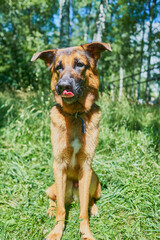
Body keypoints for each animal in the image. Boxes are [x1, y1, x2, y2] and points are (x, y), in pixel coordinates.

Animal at [31, 42, 111, 240]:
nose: (63, 86)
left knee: (88, 200)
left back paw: (93, 208)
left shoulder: (86, 167)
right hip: (54, 185)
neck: (75, 114)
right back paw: (51, 210)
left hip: (94, 179)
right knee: (54, 199)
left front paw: (86, 233)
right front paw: (56, 231)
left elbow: (83, 212)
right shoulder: (59, 165)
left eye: (79, 64)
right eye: (58, 67)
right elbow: (61, 208)